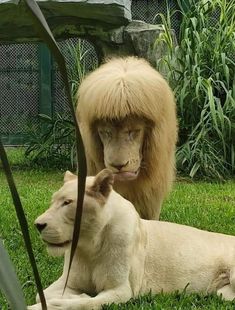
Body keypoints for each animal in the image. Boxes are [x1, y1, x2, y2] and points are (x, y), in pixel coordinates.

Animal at [28, 171, 235, 308]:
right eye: (53, 201)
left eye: (67, 203)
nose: (38, 224)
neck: (89, 246)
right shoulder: (69, 282)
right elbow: (41, 295)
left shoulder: (122, 290)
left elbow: (85, 304)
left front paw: (69, 300)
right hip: (222, 293)